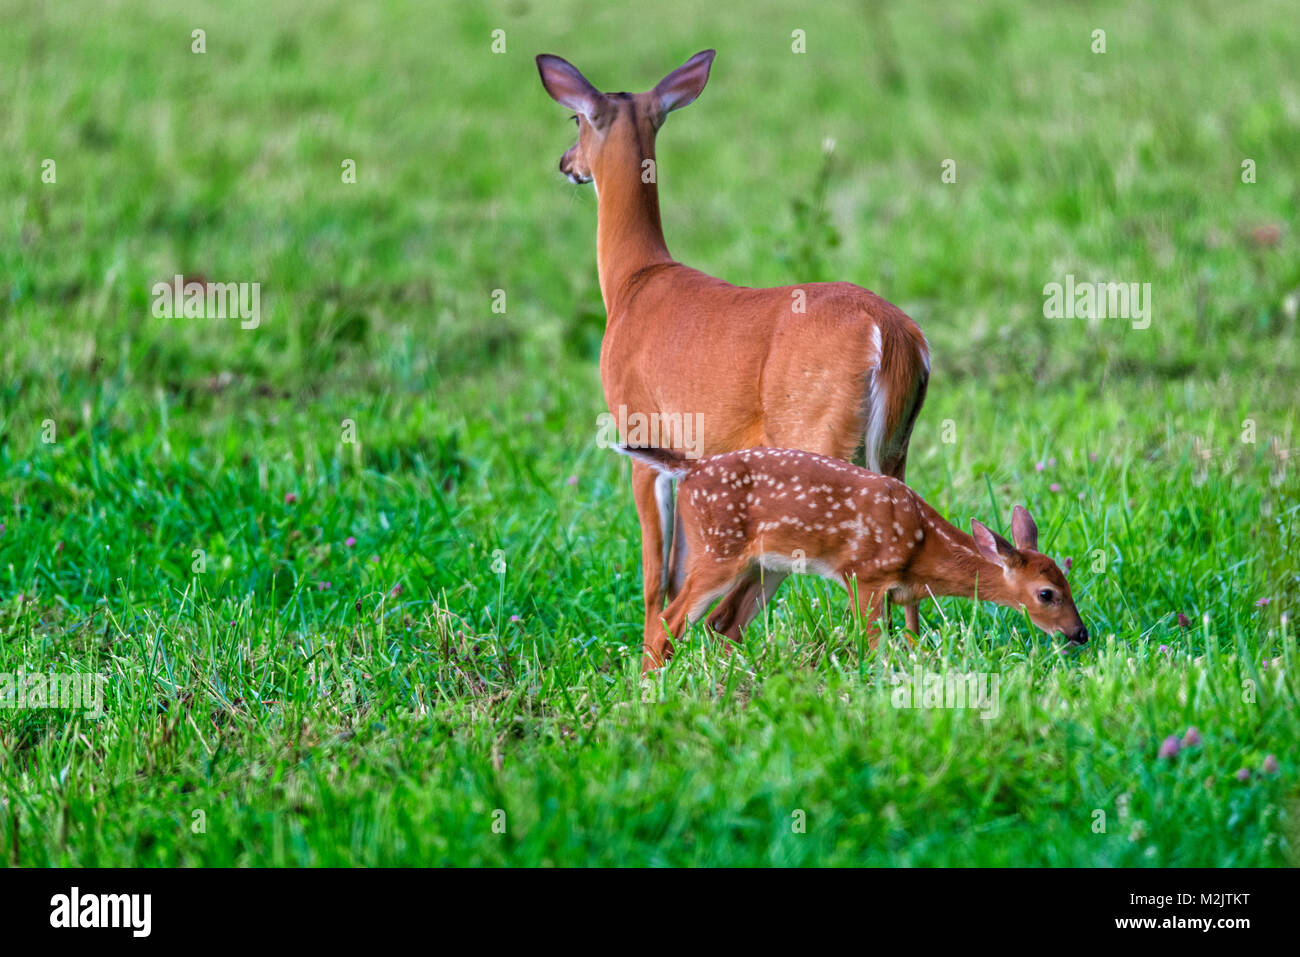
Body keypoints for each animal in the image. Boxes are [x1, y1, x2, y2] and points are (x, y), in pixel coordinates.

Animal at [538, 48, 935, 655]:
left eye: (574, 119)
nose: (566, 163)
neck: (634, 281)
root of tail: (890, 335)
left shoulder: (640, 428)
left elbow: (656, 574)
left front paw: (649, 654)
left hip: (817, 443)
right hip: (893, 449)